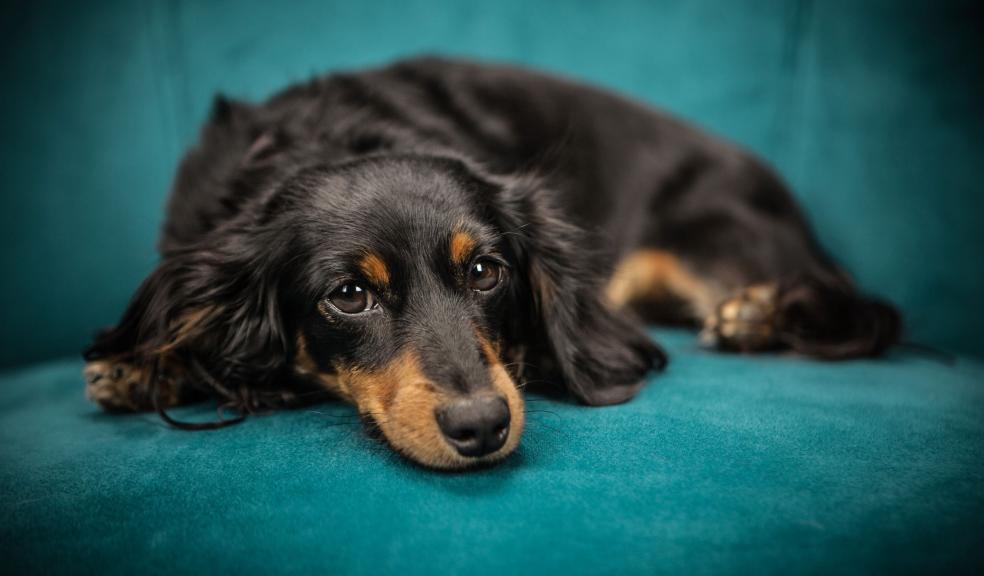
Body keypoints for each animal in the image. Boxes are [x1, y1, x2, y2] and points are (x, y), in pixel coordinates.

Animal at [84, 55, 900, 468]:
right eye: (349, 294)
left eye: (485, 272)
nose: (481, 427)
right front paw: (141, 365)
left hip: (713, 237)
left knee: (868, 312)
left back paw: (759, 313)